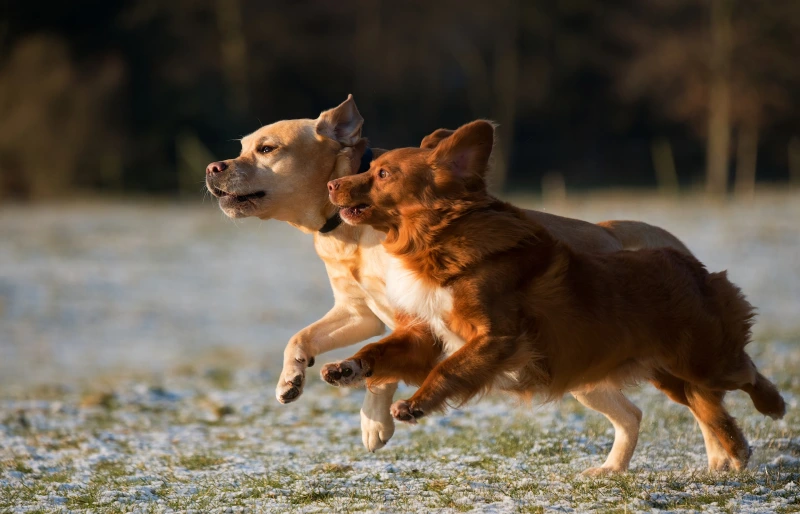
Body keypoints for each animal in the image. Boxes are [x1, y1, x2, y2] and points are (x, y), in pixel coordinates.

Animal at [203, 94, 728, 470]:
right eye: (241, 147)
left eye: (268, 149)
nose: (213, 167)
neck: (347, 233)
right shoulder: (358, 311)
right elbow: (301, 338)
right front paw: (291, 379)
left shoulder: (409, 317)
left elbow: (383, 373)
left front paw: (374, 423)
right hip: (577, 372)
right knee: (633, 415)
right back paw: (613, 469)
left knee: (697, 402)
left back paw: (720, 462)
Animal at [322, 120, 784, 472]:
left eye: (383, 174)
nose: (330, 184)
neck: (436, 241)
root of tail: (688, 263)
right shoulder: (429, 335)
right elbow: (381, 349)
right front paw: (346, 367)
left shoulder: (496, 337)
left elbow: (449, 370)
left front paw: (415, 404)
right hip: (670, 373)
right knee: (705, 408)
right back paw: (729, 452)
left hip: (702, 361)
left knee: (745, 373)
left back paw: (773, 406)